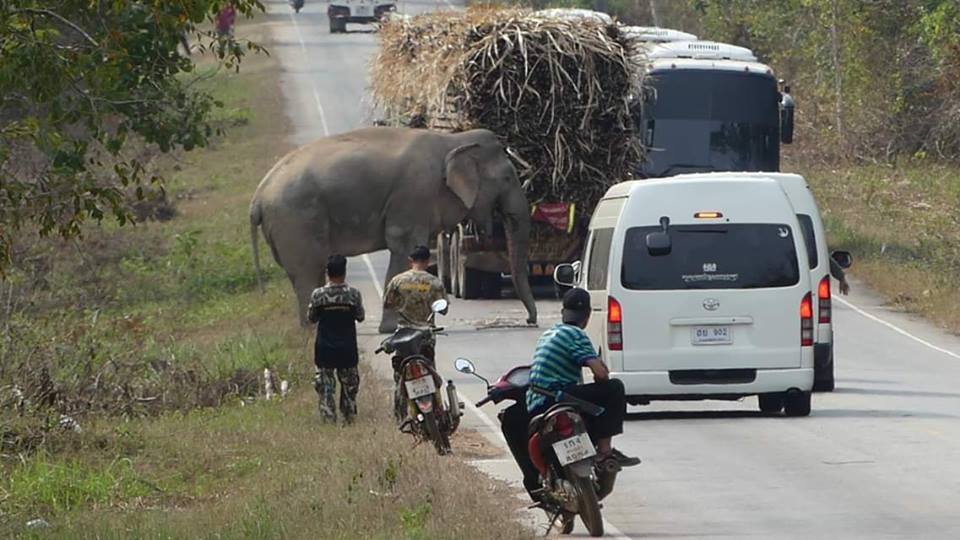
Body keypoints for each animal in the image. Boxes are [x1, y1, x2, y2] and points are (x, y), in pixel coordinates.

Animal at [248, 126, 536, 332]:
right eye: (508, 178)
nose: (530, 321)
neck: (453, 140)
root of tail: (258, 196)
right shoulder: (414, 194)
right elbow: (404, 248)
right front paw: (396, 328)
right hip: (296, 221)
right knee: (308, 272)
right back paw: (312, 331)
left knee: (306, 273)